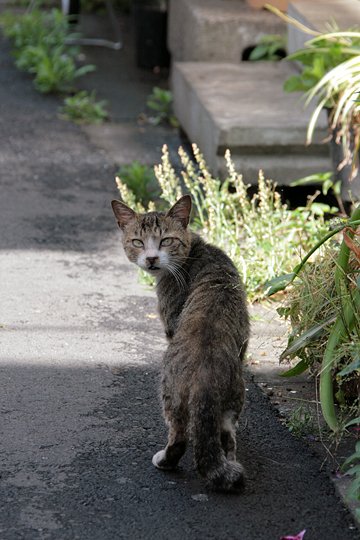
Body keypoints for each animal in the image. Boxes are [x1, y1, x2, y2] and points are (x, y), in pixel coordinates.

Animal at [111, 196, 249, 492]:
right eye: (137, 241)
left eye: (166, 241)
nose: (151, 258)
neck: (195, 250)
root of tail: (205, 376)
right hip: (232, 399)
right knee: (225, 436)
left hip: (170, 393)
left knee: (180, 438)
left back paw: (164, 460)